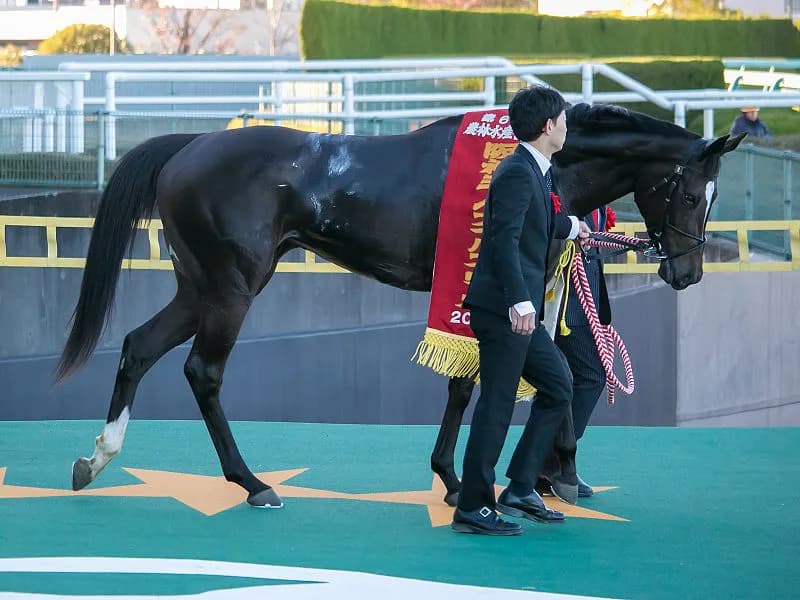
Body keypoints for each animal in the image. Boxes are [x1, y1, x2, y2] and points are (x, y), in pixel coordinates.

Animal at [55, 103, 744, 509]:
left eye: (711, 196)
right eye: (691, 194)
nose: (687, 271)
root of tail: (189, 146)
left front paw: (538, 475)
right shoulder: (482, 293)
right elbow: (471, 385)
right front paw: (466, 480)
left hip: (199, 287)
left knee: (139, 347)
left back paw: (97, 458)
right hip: (231, 289)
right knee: (203, 371)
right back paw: (252, 484)